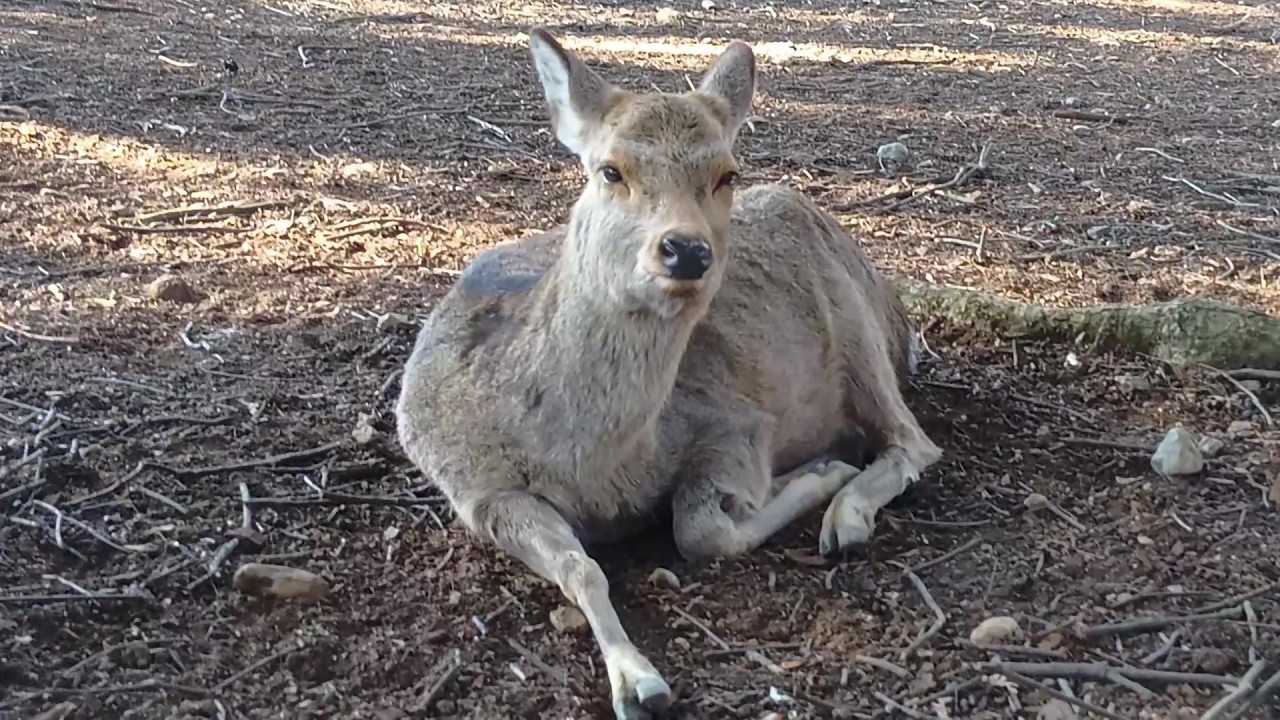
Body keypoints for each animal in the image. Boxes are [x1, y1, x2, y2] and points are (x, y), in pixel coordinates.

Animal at [394, 28, 943, 720]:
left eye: (727, 173)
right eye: (610, 170)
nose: (686, 249)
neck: (588, 461)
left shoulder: (737, 420)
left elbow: (700, 528)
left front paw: (821, 473)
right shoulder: (479, 492)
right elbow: (580, 567)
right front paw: (638, 681)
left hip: (856, 326)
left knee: (912, 439)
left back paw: (845, 515)